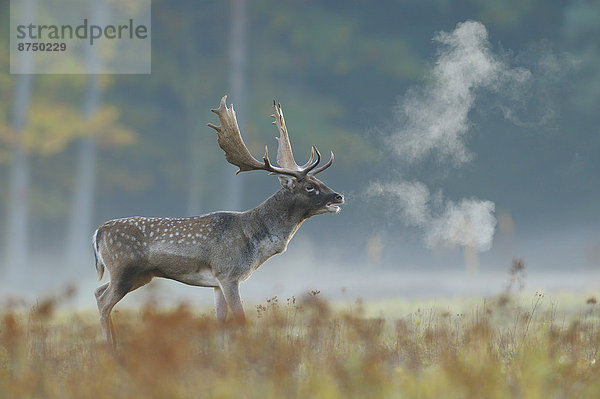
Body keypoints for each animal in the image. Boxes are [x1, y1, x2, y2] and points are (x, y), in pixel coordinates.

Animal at [95, 96, 346, 346]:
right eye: (310, 187)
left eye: (320, 181)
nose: (338, 196)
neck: (254, 240)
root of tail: (98, 232)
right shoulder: (228, 274)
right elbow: (240, 319)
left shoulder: (216, 283)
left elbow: (220, 322)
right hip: (123, 268)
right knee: (104, 301)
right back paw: (110, 347)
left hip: (140, 275)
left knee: (98, 292)